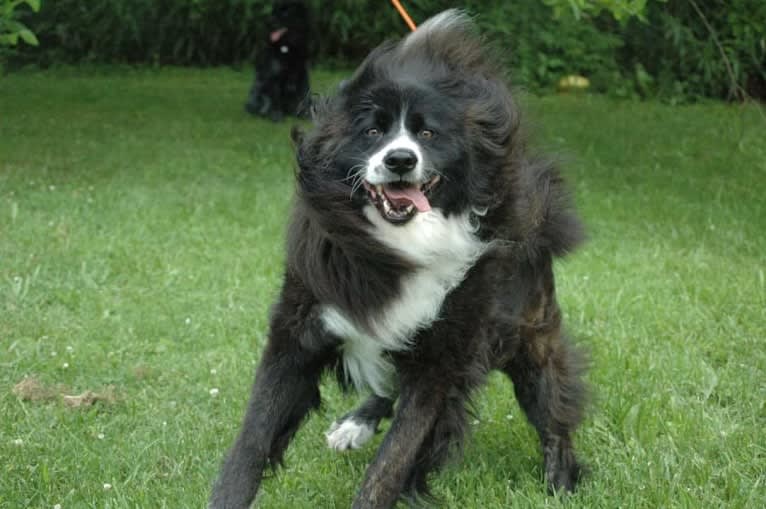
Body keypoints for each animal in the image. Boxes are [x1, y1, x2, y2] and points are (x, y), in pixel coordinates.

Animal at [210, 8, 588, 508]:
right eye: (372, 130)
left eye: (427, 133)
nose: (402, 160)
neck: (398, 245)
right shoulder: (299, 327)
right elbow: (253, 435)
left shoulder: (442, 354)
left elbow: (392, 460)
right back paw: (355, 424)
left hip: (531, 330)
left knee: (551, 403)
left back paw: (560, 480)